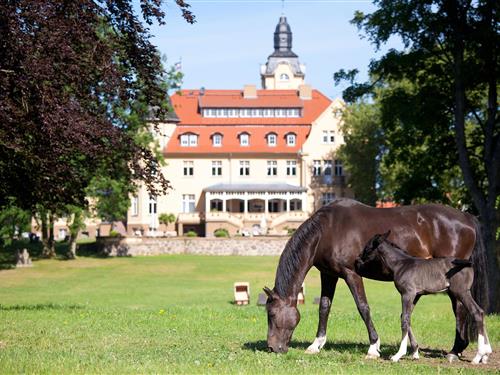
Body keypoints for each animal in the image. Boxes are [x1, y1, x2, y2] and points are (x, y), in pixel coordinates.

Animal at [264, 200, 486, 362]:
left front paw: (373, 346)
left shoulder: (351, 274)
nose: (272, 347)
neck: (328, 230)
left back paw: (455, 351)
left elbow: (363, 307)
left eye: (272, 314)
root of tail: (466, 216)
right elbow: (324, 307)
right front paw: (316, 344)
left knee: (460, 309)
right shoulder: (328, 274)